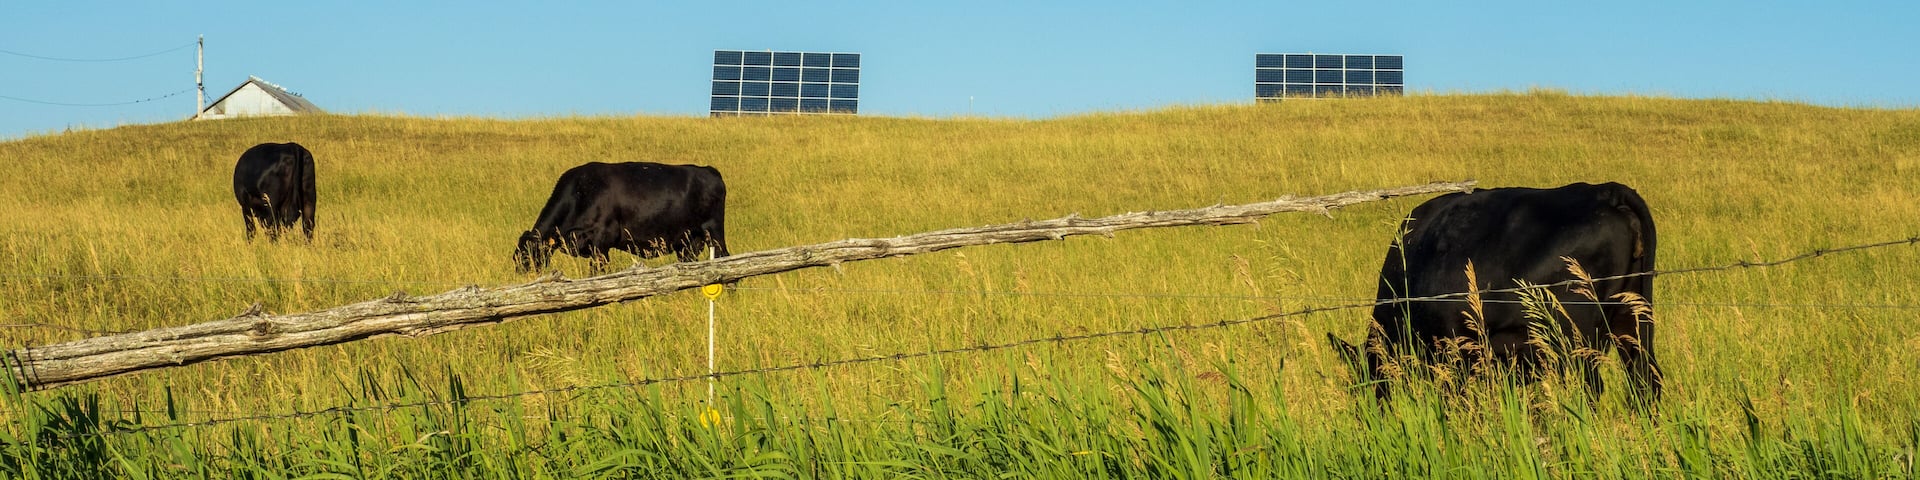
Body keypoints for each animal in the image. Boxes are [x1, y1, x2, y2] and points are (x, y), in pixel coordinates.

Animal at [513, 162, 730, 272]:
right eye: (515, 258)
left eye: (527, 256)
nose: (522, 278)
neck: (581, 192)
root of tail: (709, 170)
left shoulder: (600, 244)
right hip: (688, 242)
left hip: (714, 231)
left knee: (724, 257)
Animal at [1328, 182, 1660, 404]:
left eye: (1366, 377)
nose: (1372, 416)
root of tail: (1607, 191)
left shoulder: (1455, 349)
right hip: (1632, 318)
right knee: (1646, 380)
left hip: (1575, 335)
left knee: (1591, 387)